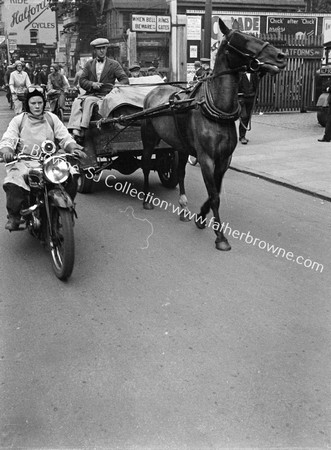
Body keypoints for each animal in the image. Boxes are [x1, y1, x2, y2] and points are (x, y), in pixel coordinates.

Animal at [141, 18, 286, 250]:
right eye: (244, 40)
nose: (280, 56)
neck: (217, 108)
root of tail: (154, 91)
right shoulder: (206, 158)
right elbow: (214, 196)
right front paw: (220, 237)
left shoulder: (224, 159)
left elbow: (215, 192)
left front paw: (200, 217)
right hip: (149, 138)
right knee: (146, 164)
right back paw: (146, 199)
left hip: (181, 146)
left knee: (180, 172)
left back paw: (183, 206)